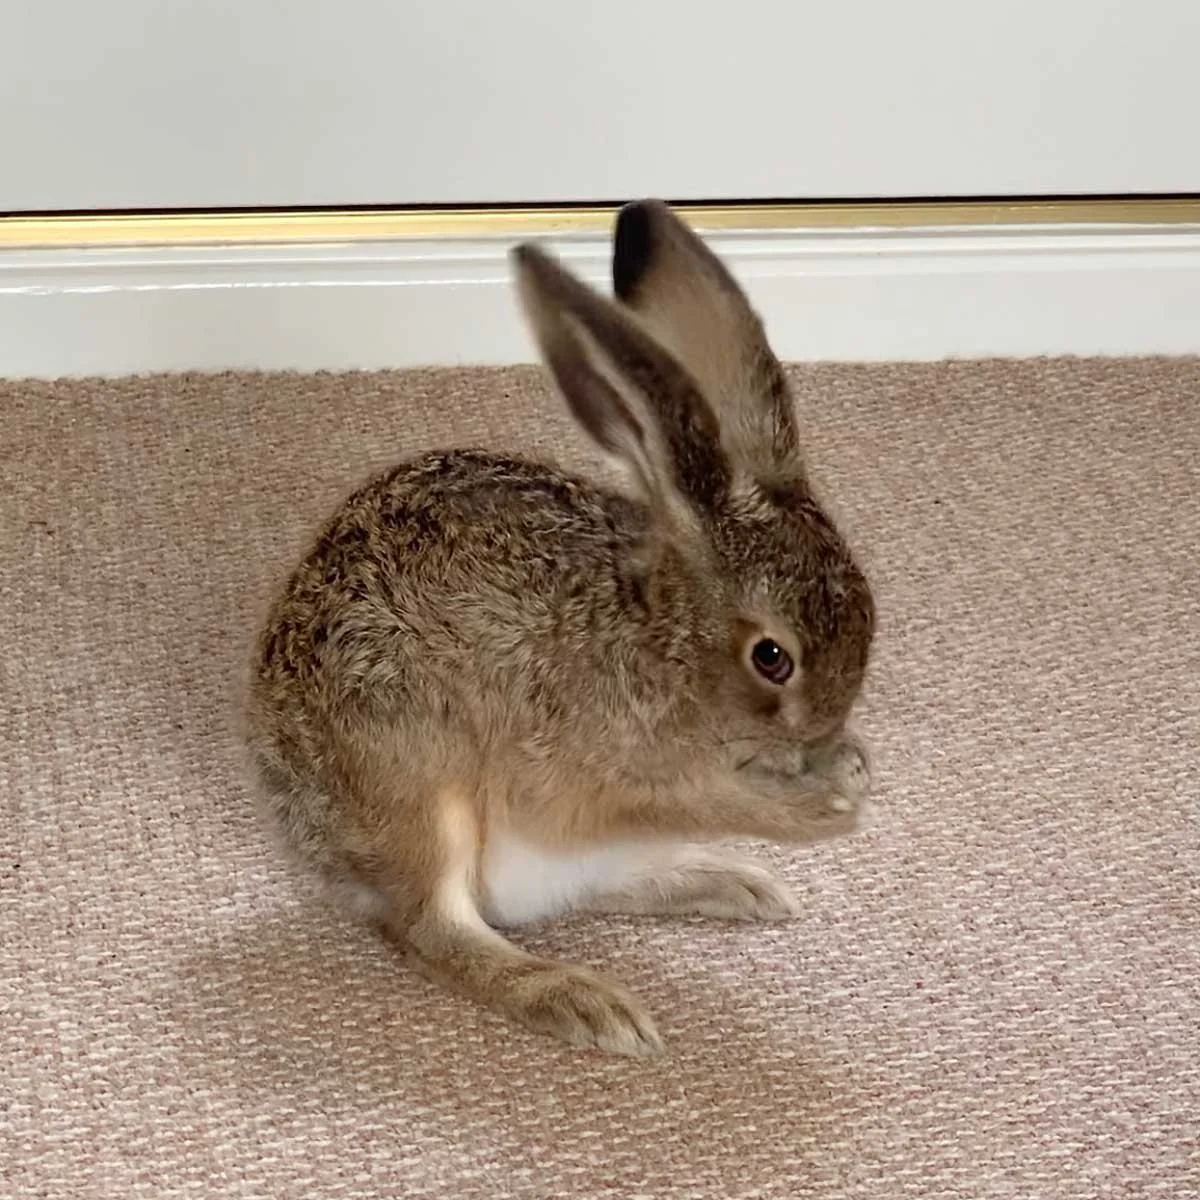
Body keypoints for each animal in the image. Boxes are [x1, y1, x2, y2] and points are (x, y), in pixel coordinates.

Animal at [244, 199, 876, 1057]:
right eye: (772, 657)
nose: (821, 740)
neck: (662, 643)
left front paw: (846, 774)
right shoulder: (587, 778)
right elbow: (694, 796)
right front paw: (822, 808)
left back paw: (734, 885)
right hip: (416, 781)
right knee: (436, 928)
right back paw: (584, 1002)